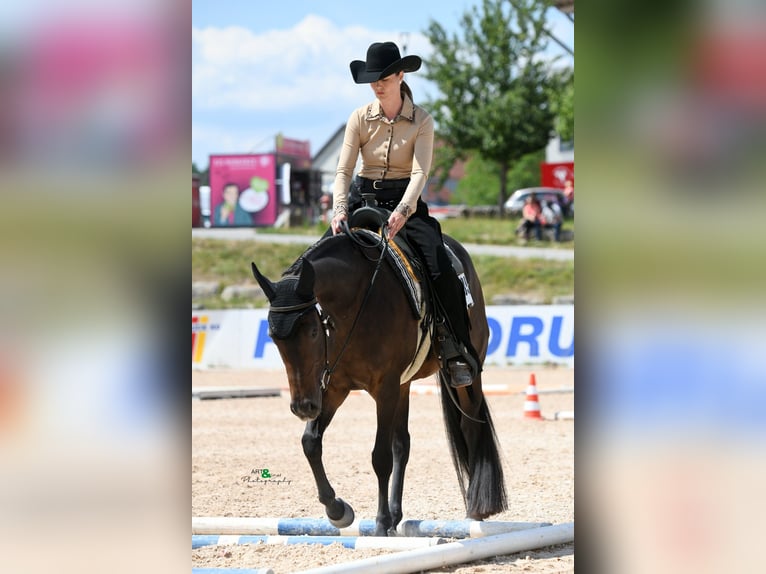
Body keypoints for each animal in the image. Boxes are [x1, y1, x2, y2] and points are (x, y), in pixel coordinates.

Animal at [250, 218, 507, 536]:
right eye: (273, 337)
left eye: (312, 331)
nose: (302, 407)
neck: (356, 303)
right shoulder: (334, 388)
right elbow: (310, 442)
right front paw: (338, 510)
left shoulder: (383, 388)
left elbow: (380, 456)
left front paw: (381, 522)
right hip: (403, 385)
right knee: (403, 444)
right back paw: (398, 515)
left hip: (464, 375)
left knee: (470, 427)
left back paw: (475, 507)